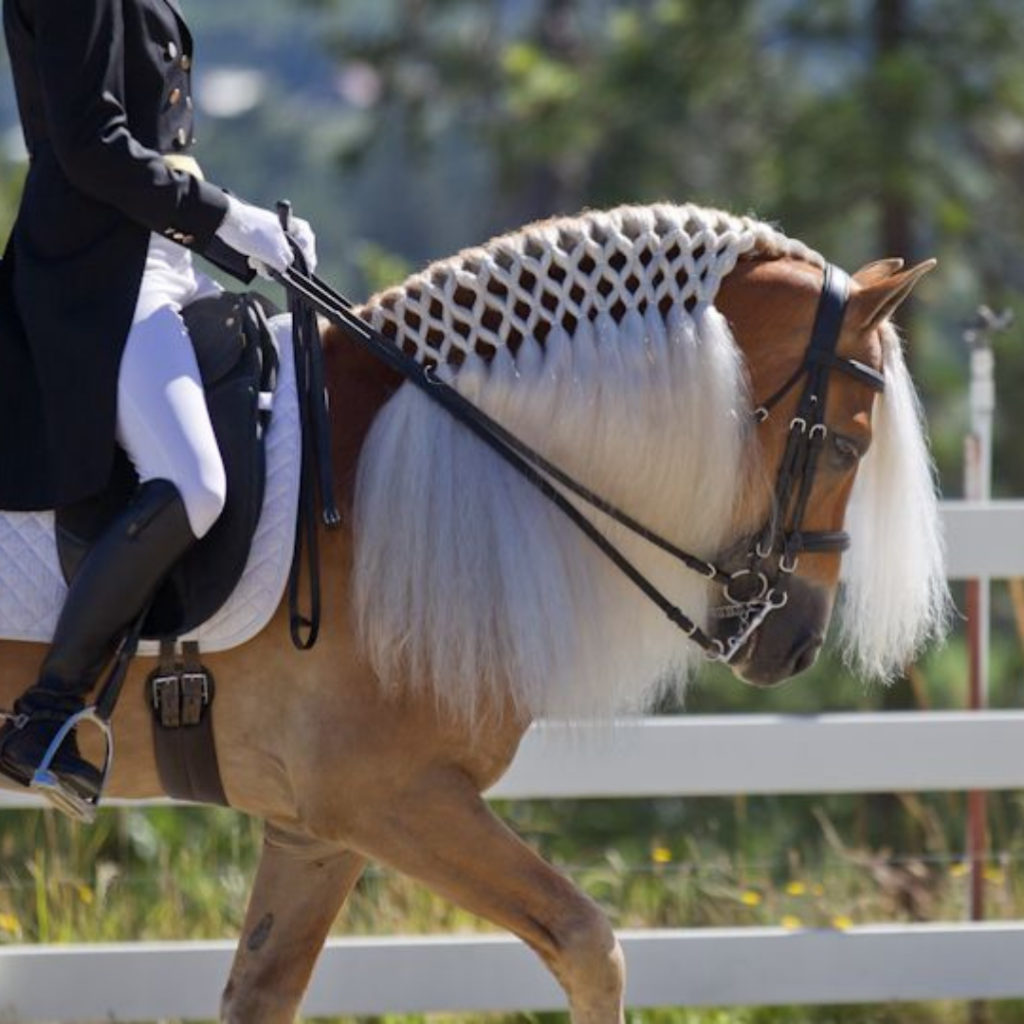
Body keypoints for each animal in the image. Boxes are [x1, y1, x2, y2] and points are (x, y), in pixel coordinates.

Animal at [0, 203, 946, 1019]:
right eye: (847, 445)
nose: (794, 644)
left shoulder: (318, 831)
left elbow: (262, 995)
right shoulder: (391, 798)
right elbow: (589, 946)